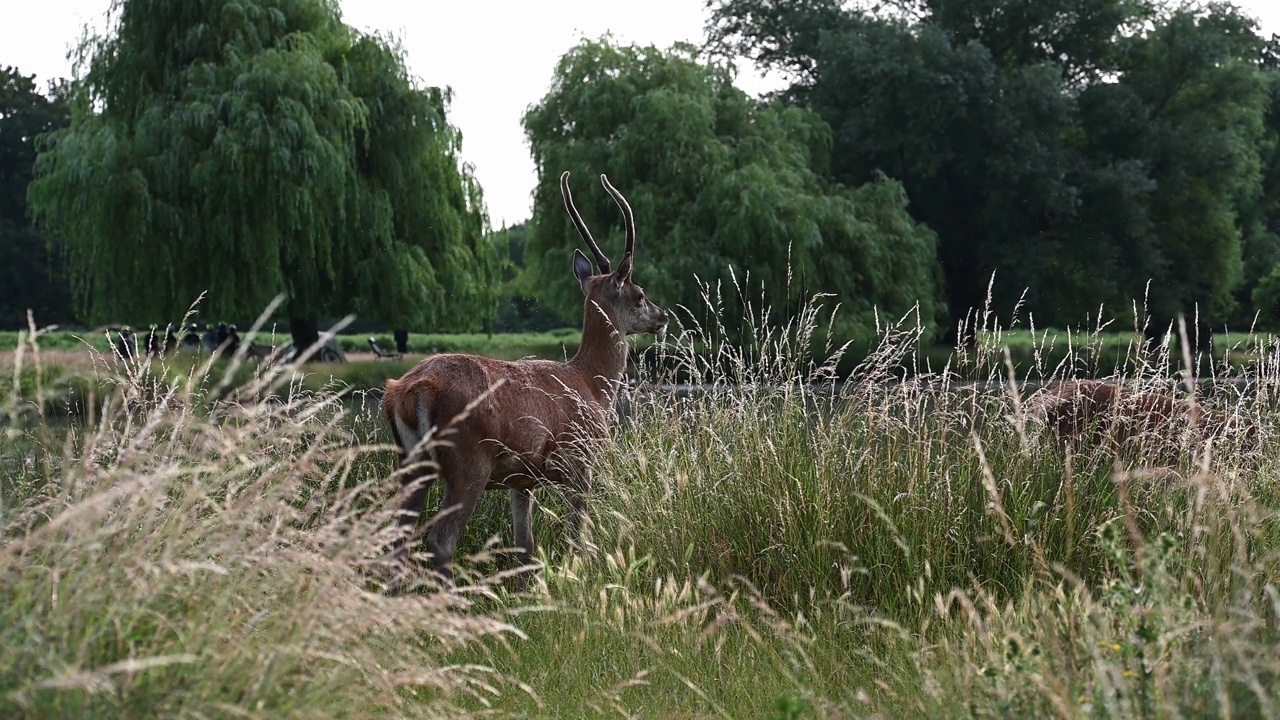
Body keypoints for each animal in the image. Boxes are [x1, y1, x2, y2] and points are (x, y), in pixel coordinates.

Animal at [378, 172, 670, 584]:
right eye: (640, 293)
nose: (663, 316)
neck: (593, 386)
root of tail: (412, 390)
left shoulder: (521, 479)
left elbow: (525, 547)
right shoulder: (582, 461)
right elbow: (577, 535)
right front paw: (577, 575)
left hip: (410, 460)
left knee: (399, 536)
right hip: (469, 461)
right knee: (440, 540)